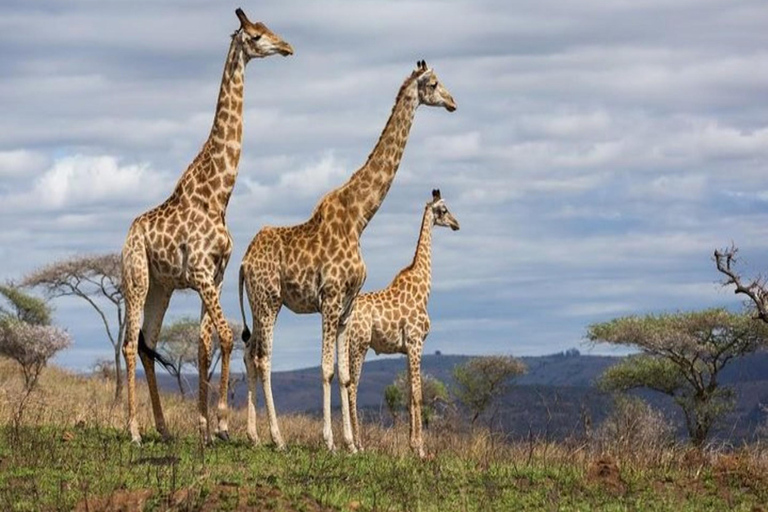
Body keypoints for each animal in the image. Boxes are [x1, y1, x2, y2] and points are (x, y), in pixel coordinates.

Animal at [121, 8, 292, 444]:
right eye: (255, 35)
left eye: (270, 29)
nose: (287, 47)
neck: (217, 195)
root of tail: (128, 235)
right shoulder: (200, 272)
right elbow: (228, 337)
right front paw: (223, 425)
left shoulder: (213, 276)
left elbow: (203, 346)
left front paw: (203, 429)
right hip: (136, 278)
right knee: (129, 344)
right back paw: (133, 430)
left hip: (161, 287)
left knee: (147, 343)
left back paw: (163, 429)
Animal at [350, 189, 462, 460]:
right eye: (444, 210)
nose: (457, 224)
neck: (423, 287)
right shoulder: (415, 341)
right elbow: (418, 393)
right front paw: (420, 448)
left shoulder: (407, 348)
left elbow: (410, 392)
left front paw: (413, 445)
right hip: (360, 345)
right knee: (352, 387)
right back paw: (359, 445)